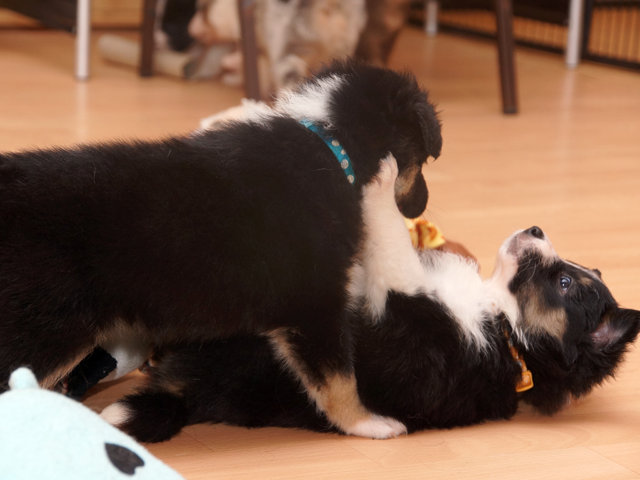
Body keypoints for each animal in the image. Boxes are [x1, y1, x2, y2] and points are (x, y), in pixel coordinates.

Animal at [0, 62, 441, 439]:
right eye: (422, 162)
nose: (422, 206)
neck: (333, 145)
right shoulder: (316, 303)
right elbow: (338, 378)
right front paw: (367, 423)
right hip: (45, 329)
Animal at [103, 157, 640, 442]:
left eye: (565, 284)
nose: (536, 228)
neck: (508, 334)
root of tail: (186, 393)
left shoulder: (407, 305)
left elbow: (392, 242)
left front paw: (382, 179)